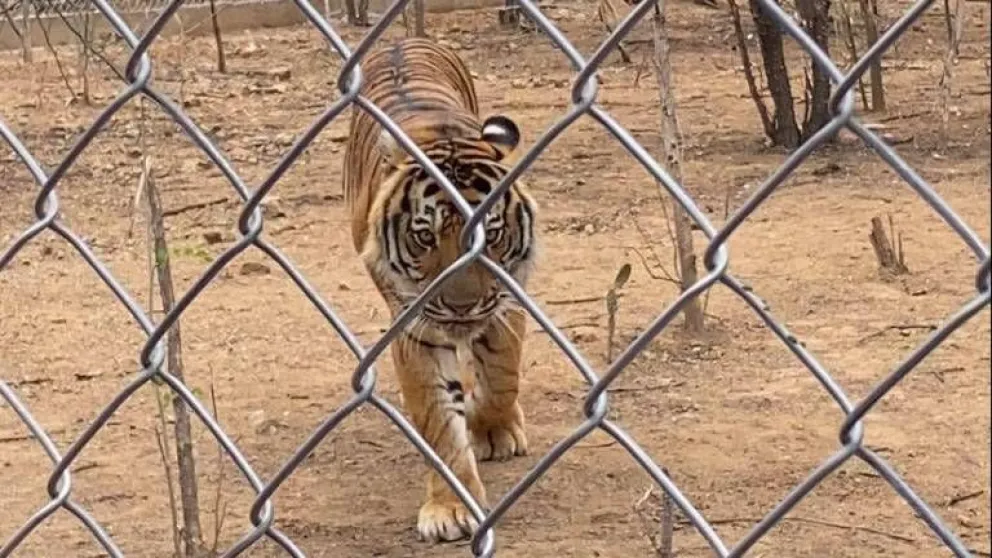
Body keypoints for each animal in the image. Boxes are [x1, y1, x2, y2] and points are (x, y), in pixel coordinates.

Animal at [342, 40, 544, 548]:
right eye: (424, 236)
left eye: (491, 234)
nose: (461, 305)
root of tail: (401, 40)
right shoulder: (416, 328)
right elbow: (437, 421)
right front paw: (451, 508)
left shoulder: (507, 300)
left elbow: (502, 373)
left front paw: (493, 430)